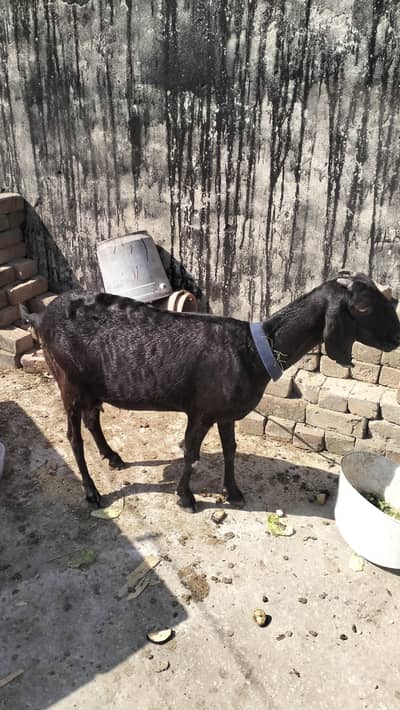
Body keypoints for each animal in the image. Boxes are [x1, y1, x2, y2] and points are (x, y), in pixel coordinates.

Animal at [21, 273, 400, 512]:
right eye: (364, 307)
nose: (397, 337)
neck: (254, 349)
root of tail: (41, 316)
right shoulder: (201, 411)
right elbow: (191, 453)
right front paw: (185, 498)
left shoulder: (225, 413)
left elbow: (231, 450)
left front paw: (233, 492)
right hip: (68, 382)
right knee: (73, 436)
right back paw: (92, 492)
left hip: (92, 385)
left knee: (92, 420)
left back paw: (112, 457)